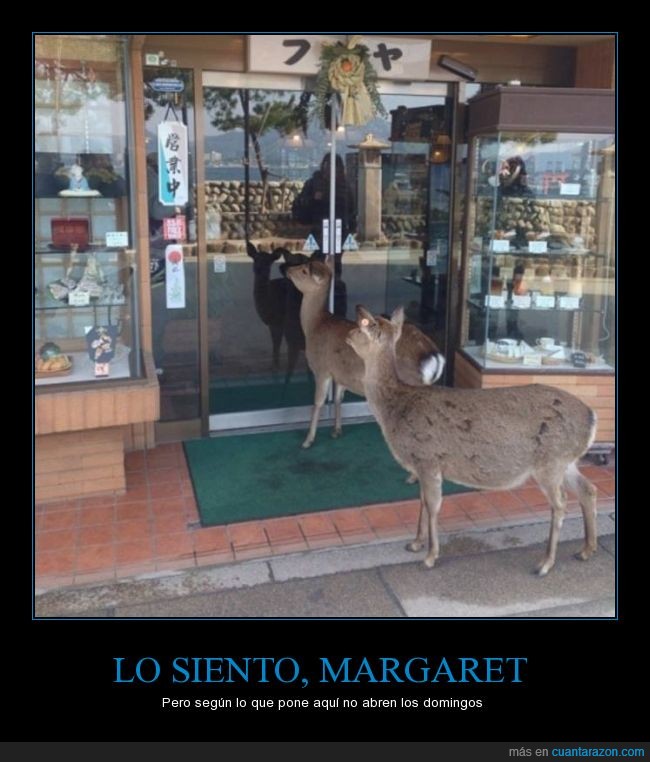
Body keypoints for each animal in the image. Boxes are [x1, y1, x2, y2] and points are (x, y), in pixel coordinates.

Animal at [285, 259, 445, 468]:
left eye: (304, 270)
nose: (287, 269)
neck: (314, 326)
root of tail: (433, 354)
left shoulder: (322, 368)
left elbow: (318, 402)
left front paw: (307, 440)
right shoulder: (340, 373)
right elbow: (338, 398)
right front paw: (336, 431)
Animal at [346, 305, 598, 576]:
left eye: (362, 325)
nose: (347, 335)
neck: (395, 407)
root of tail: (591, 417)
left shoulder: (427, 458)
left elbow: (433, 506)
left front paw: (430, 556)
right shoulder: (421, 465)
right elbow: (422, 502)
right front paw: (415, 544)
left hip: (550, 461)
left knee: (561, 503)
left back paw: (545, 563)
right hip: (566, 461)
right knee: (588, 489)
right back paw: (586, 550)